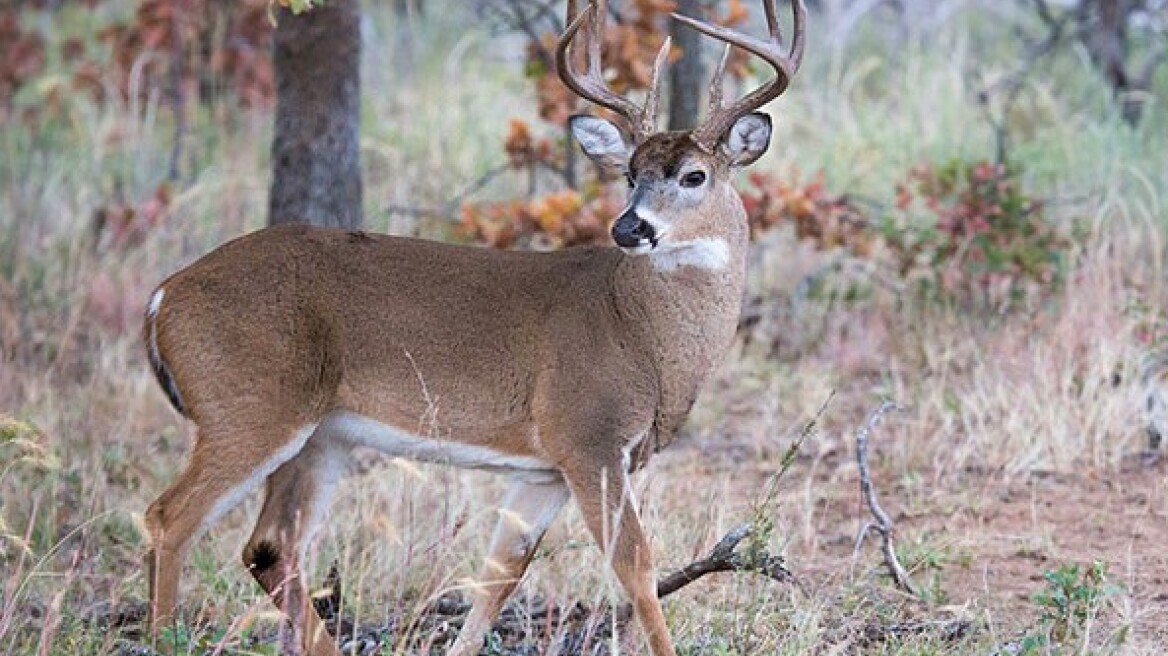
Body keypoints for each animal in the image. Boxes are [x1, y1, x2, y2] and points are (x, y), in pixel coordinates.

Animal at [138, 0, 803, 648]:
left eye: (694, 175)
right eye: (630, 174)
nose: (629, 227)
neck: (641, 333)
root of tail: (163, 297)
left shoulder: (545, 470)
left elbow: (498, 577)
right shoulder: (587, 435)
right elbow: (637, 569)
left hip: (324, 434)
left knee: (270, 547)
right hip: (249, 407)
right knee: (170, 517)